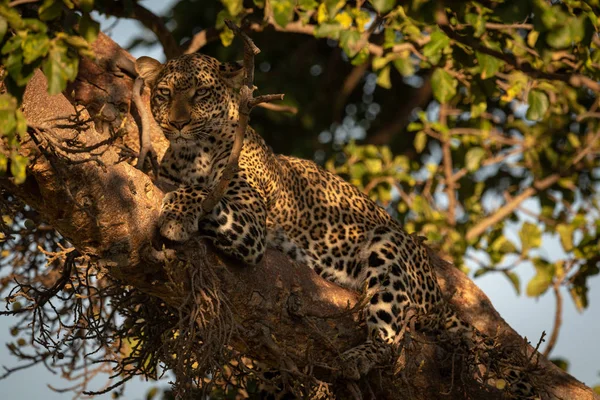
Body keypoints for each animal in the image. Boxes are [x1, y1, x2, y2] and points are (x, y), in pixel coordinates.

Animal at [135, 53, 540, 400]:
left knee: (392, 340)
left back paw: (357, 358)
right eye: (164, 93)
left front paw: (177, 213)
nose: (177, 124)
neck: (191, 154)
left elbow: (204, 193)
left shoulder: (251, 225)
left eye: (201, 93)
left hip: (389, 246)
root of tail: (440, 297)